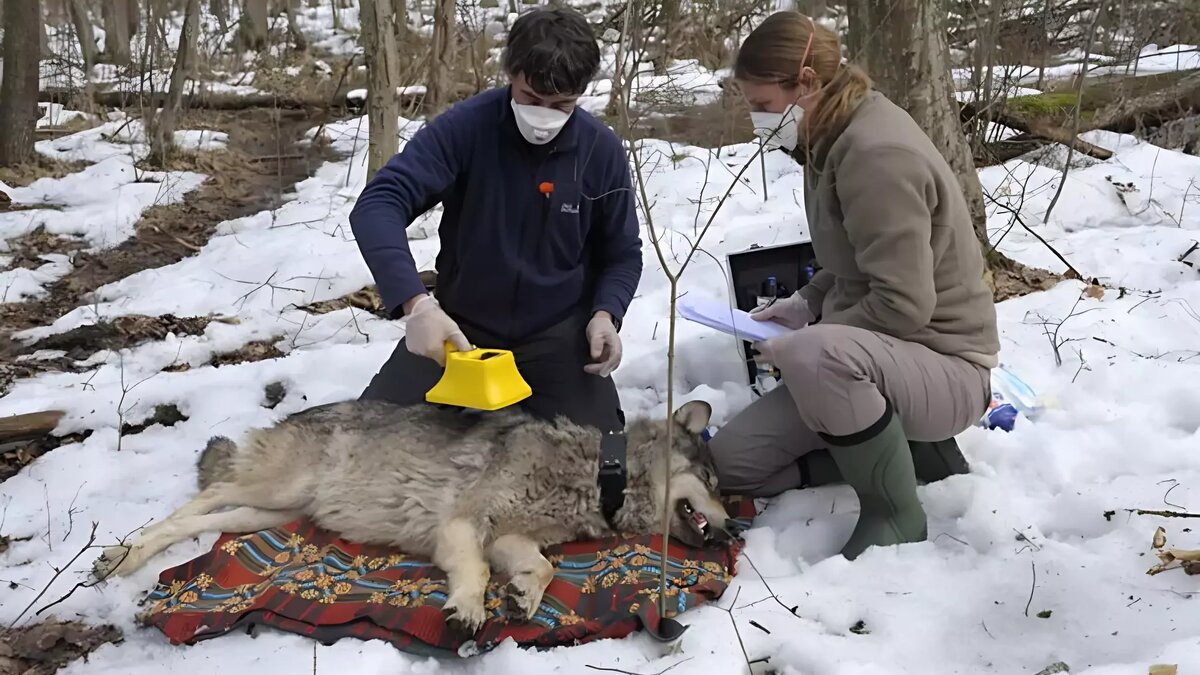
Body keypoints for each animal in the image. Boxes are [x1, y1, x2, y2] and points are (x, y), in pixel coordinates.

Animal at [93, 393, 734, 629]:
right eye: (712, 483)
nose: (733, 530)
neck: (599, 474)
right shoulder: (463, 526)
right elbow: (475, 572)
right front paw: (469, 610)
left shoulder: (508, 538)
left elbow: (545, 567)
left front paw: (522, 597)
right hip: (273, 490)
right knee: (201, 498)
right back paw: (121, 555)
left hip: (266, 516)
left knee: (202, 520)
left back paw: (127, 557)